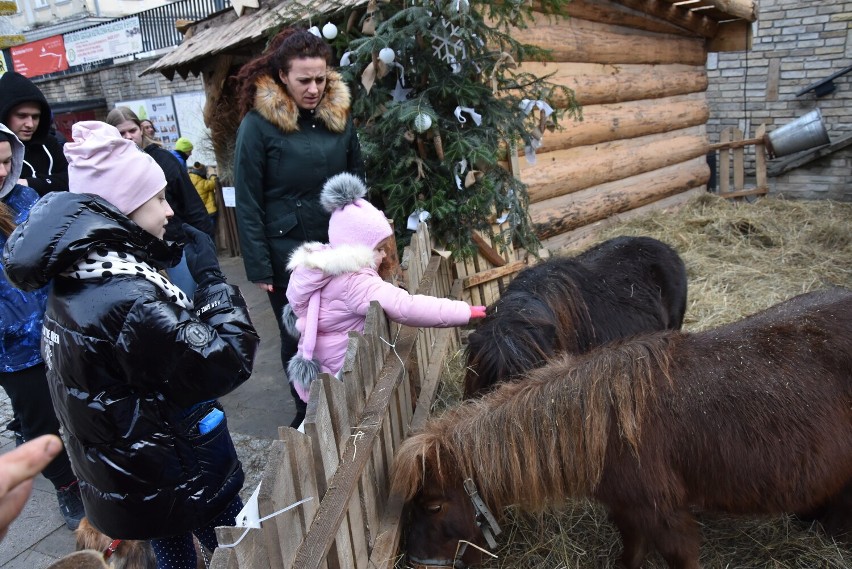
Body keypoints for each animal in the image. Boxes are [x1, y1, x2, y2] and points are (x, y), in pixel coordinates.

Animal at [396, 288, 852, 568]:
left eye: (434, 506)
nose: (417, 561)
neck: (609, 429)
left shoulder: (665, 518)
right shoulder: (629, 513)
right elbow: (630, 555)